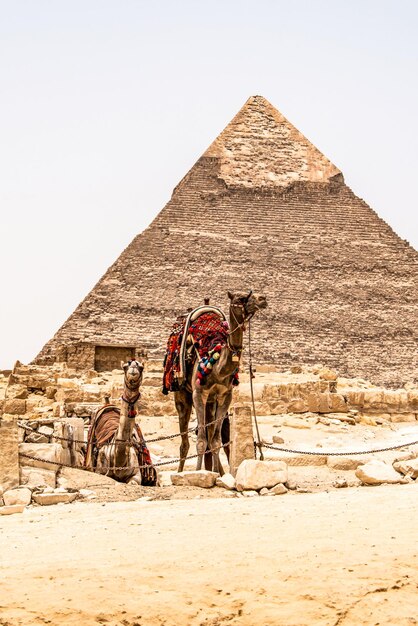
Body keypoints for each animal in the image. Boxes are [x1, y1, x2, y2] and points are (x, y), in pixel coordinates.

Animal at [174, 292, 268, 472]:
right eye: (240, 298)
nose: (263, 299)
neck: (217, 367)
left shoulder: (225, 396)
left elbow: (216, 440)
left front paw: (218, 473)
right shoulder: (199, 394)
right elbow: (201, 440)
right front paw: (198, 473)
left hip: (211, 403)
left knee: (211, 434)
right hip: (182, 394)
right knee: (184, 442)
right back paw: (180, 471)